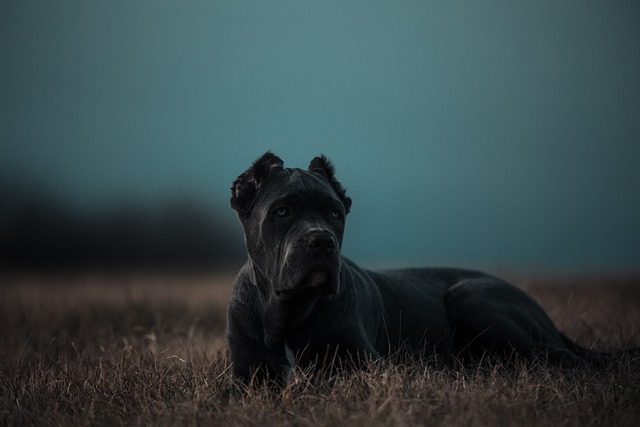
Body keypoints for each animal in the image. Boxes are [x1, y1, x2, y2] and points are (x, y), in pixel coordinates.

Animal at [228, 152, 616, 382]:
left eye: (335, 213)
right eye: (282, 211)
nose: (322, 241)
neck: (290, 311)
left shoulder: (363, 361)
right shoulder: (245, 376)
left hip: (472, 298)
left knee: (562, 358)